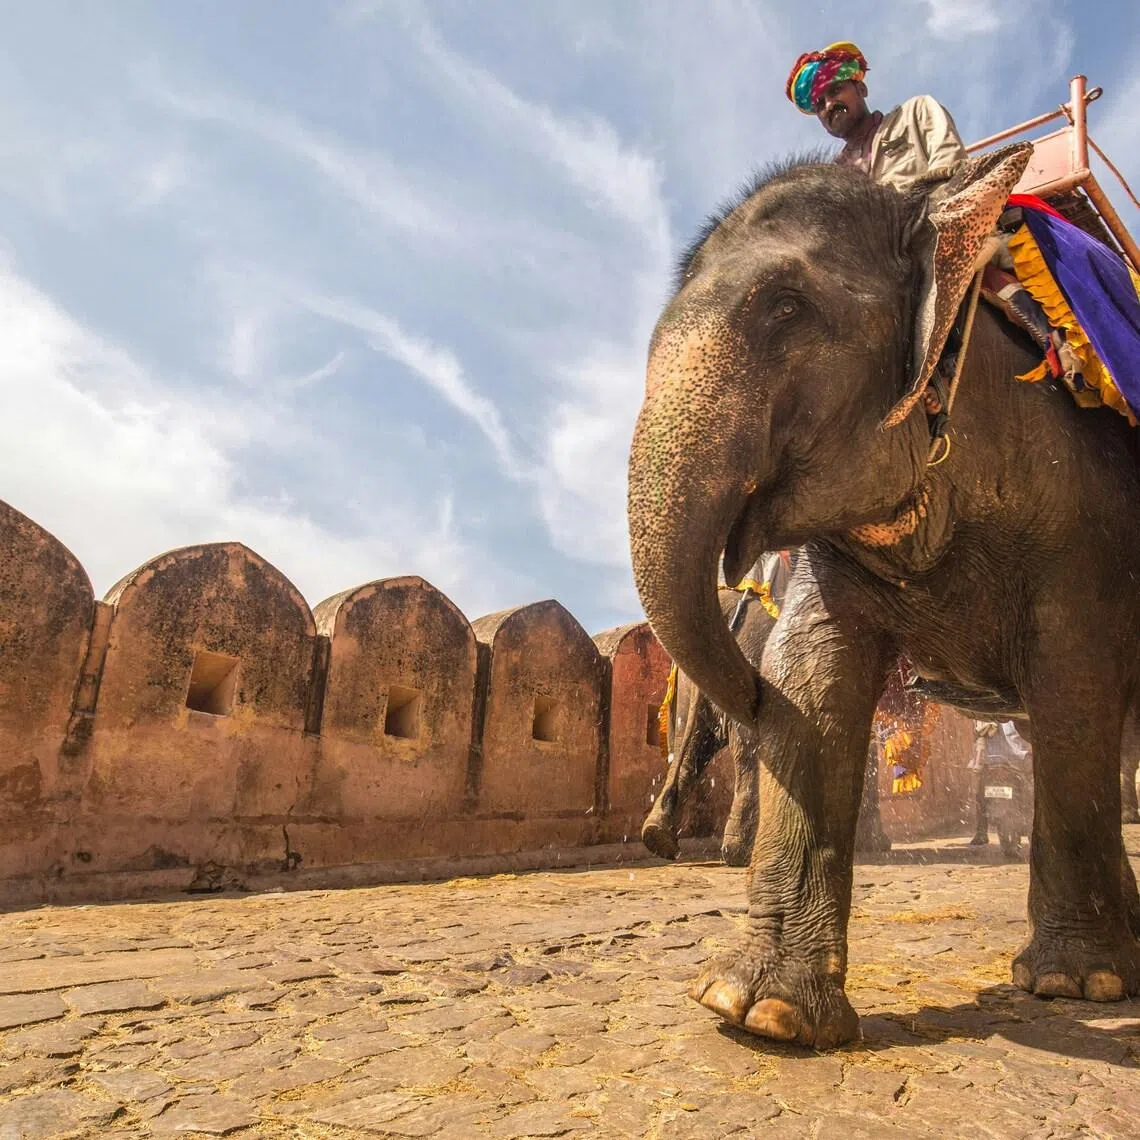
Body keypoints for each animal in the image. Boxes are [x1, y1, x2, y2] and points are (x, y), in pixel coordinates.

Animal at [627, 143, 1140, 1049]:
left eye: (787, 307)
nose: (741, 689)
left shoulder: (1086, 501)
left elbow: (1074, 681)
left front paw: (1076, 985)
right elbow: (811, 675)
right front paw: (758, 1012)